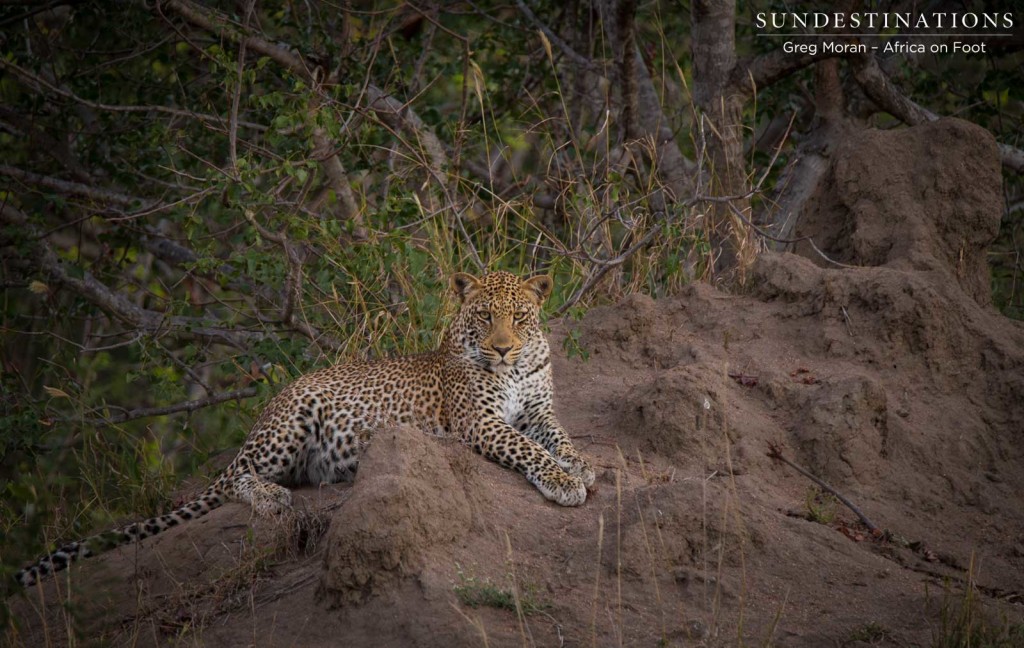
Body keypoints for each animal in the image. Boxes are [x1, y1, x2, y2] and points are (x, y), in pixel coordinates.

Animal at [16, 268, 598, 585]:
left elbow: (558, 437)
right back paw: (271, 498)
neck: (518, 368)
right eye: (483, 317)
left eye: (520, 317)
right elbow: (528, 449)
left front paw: (582, 465)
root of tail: (270, 404)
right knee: (236, 477)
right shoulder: (481, 422)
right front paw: (563, 481)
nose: (501, 348)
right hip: (291, 423)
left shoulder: (539, 408)